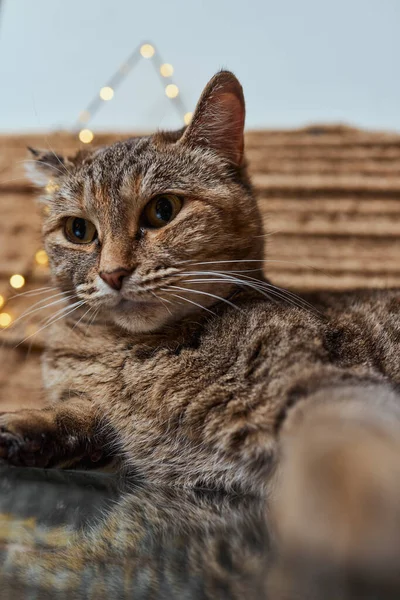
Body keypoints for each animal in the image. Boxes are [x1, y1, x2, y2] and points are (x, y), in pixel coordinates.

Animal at [0, 69, 400, 584]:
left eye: (162, 210)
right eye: (78, 231)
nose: (112, 273)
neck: (135, 353)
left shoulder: (321, 382)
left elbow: (338, 454)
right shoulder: (96, 416)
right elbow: (69, 418)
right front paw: (19, 425)